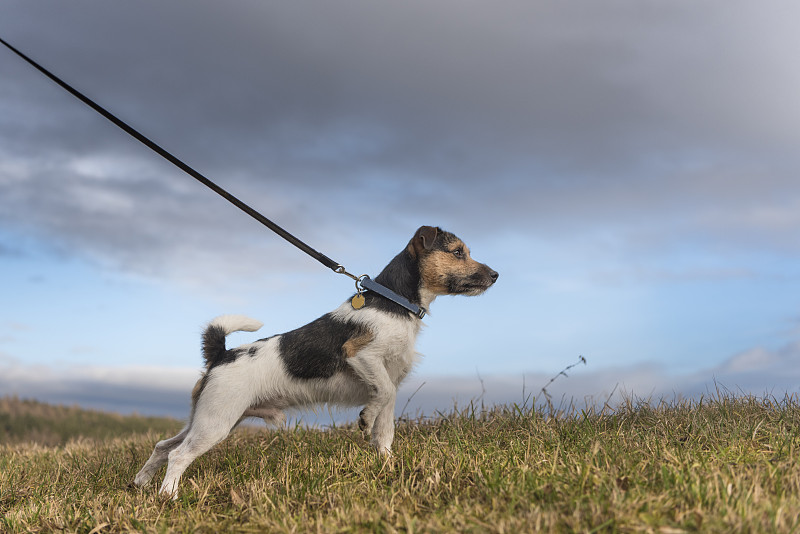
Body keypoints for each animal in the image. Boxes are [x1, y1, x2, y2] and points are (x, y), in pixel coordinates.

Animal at [134, 226, 496, 498]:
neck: (393, 301)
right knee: (178, 454)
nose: (495, 275)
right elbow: (380, 396)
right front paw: (365, 419)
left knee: (163, 446)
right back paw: (168, 495)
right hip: (216, 423)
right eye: (458, 252)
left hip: (210, 419)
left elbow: (386, 428)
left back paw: (140, 483)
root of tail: (222, 354)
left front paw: (387, 463)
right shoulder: (362, 356)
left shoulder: (391, 379)